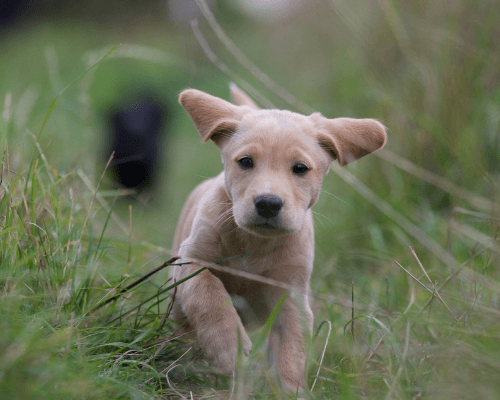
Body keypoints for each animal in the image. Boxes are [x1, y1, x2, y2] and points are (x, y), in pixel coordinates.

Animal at [169, 86, 386, 392]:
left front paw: (290, 390)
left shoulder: (291, 296)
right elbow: (209, 294)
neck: (254, 244)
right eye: (246, 162)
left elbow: (291, 349)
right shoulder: (190, 261)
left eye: (300, 168)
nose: (268, 204)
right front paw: (230, 349)